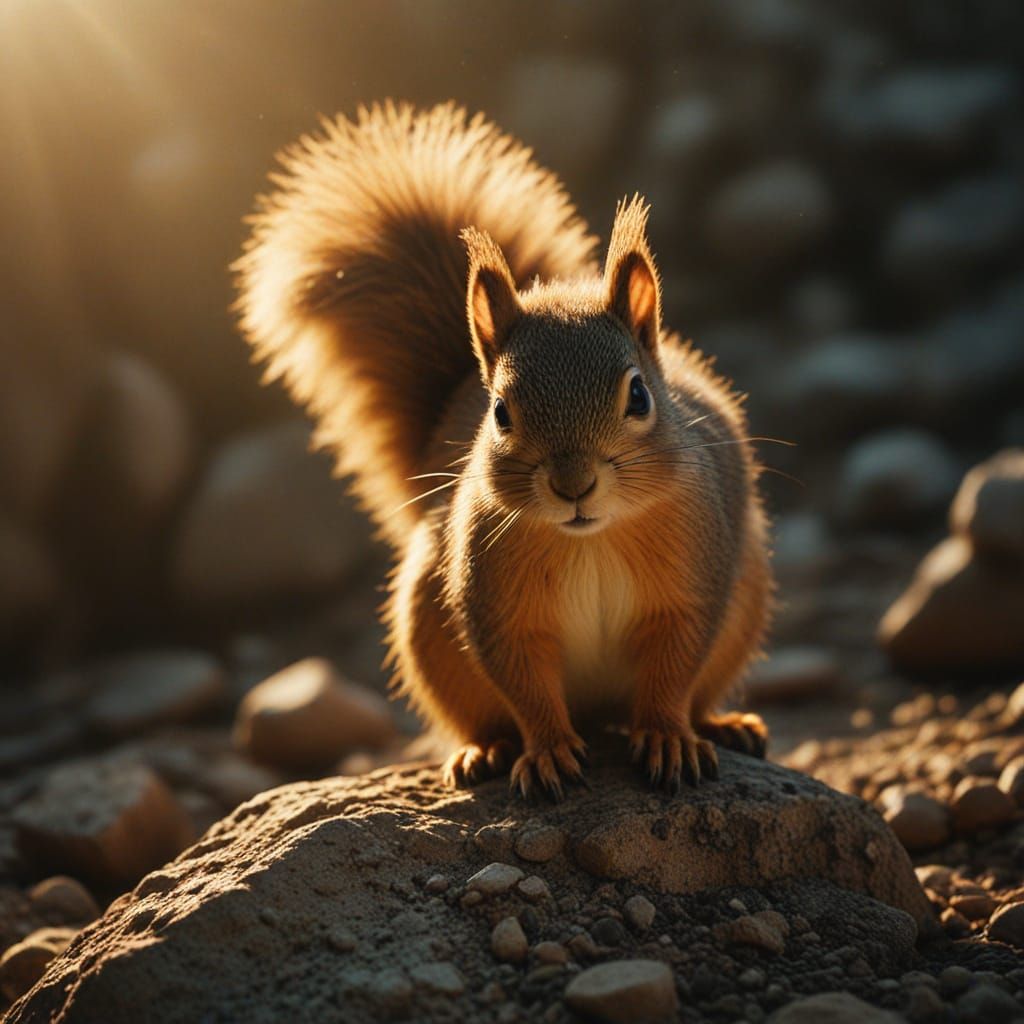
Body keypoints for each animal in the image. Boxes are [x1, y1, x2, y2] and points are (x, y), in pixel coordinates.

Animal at [234, 101, 774, 798]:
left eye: (639, 396)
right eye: (500, 413)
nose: (573, 486)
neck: (590, 540)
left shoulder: (693, 581)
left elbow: (672, 669)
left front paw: (665, 736)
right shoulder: (494, 599)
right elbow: (525, 684)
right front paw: (546, 751)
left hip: (746, 600)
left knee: (698, 691)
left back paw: (720, 724)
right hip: (426, 631)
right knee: (480, 713)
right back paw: (485, 750)